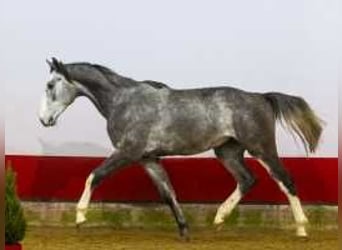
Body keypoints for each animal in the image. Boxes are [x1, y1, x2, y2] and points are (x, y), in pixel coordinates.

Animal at [38, 57, 322, 239]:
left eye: (51, 85)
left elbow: (94, 176)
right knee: (247, 180)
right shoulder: (148, 158)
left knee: (285, 180)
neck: (123, 101)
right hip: (227, 151)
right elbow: (168, 193)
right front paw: (185, 230)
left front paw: (80, 217)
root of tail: (261, 97)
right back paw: (219, 218)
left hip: (260, 147)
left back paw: (302, 229)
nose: (43, 120)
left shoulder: (127, 151)